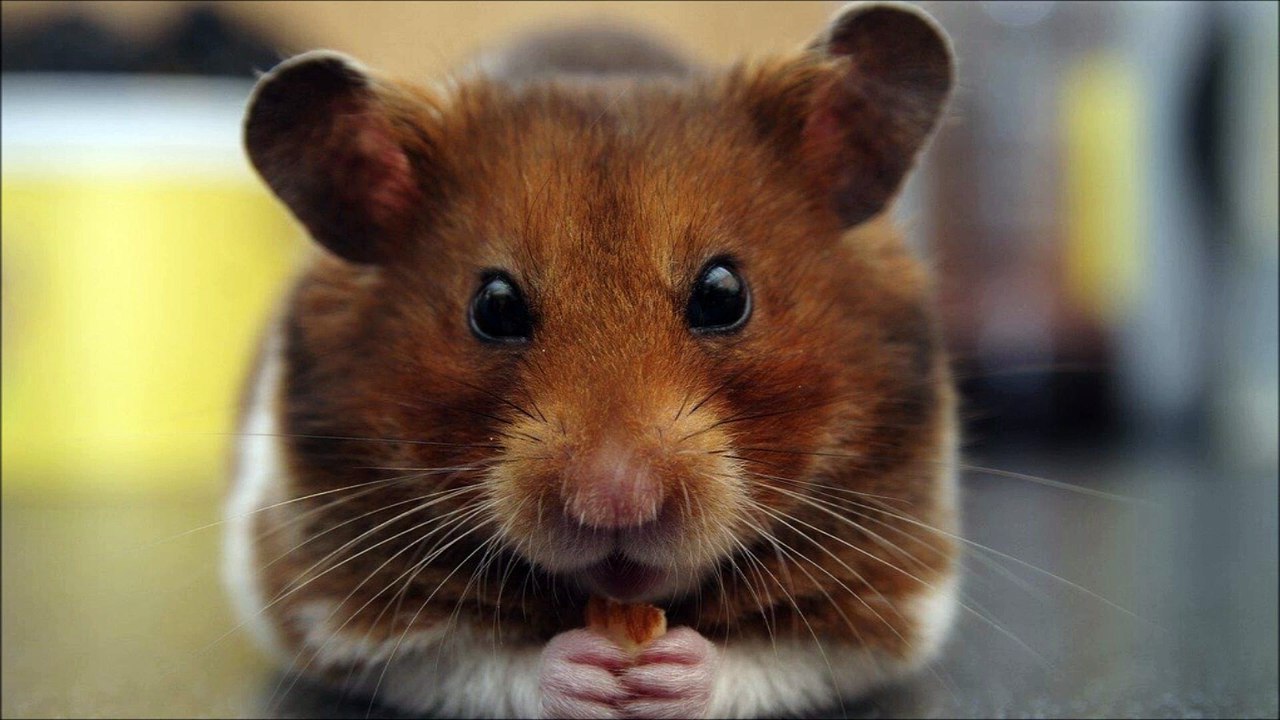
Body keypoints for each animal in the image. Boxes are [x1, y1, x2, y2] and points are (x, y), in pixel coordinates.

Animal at [222, 2, 960, 718]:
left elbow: (774, 659)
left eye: (724, 294)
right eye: (493, 307)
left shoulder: (895, 598)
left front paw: (670, 673)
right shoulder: (330, 607)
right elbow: (478, 661)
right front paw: (588, 672)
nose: (614, 502)